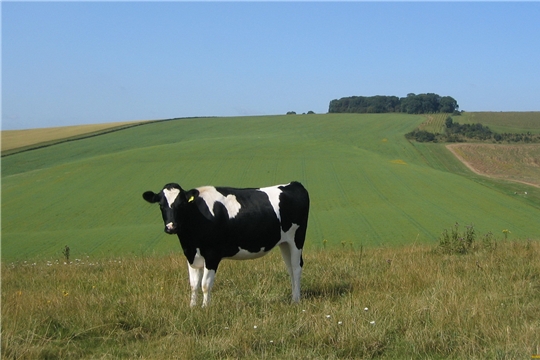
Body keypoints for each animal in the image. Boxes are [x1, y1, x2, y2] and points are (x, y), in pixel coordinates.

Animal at [141, 181, 310, 306]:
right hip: (284, 243)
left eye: (181, 204)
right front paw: (192, 307)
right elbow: (193, 285)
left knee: (296, 267)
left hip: (297, 239)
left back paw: (296, 300)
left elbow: (205, 284)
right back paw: (293, 297)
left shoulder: (212, 255)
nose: (171, 227)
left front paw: (205, 308)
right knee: (290, 268)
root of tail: (293, 184)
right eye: (161, 205)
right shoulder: (191, 255)